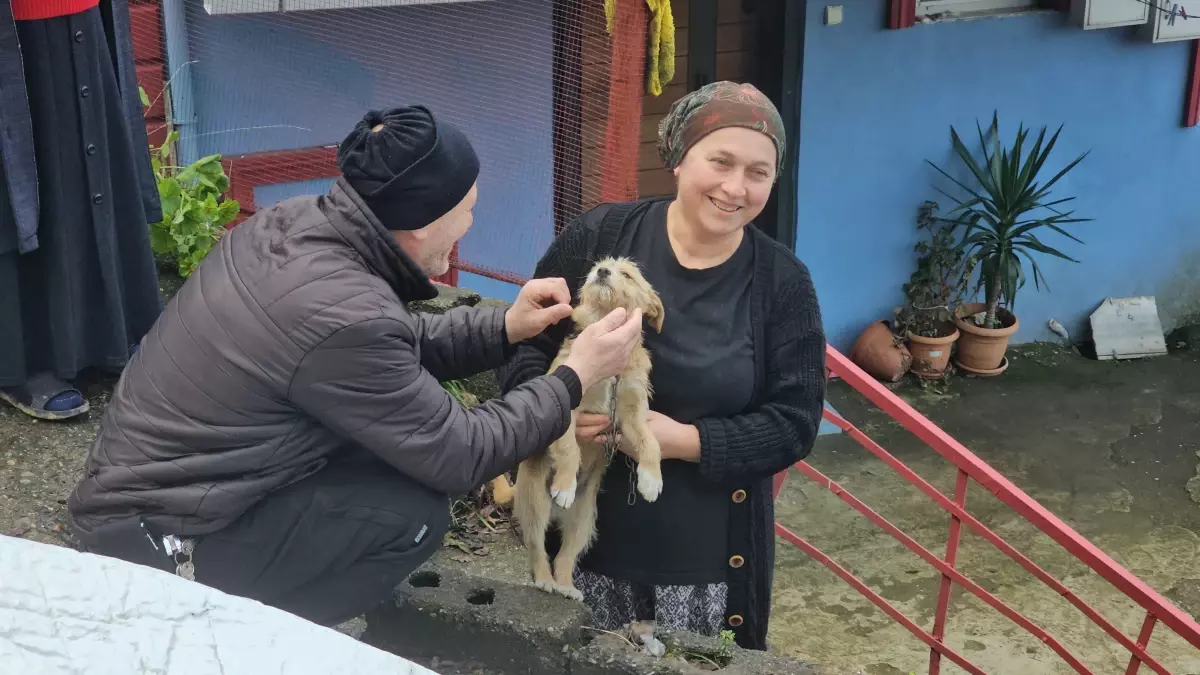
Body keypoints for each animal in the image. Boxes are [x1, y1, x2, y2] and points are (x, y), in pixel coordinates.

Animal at [496, 257, 667, 598]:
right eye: (600, 266)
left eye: (627, 274)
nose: (601, 272)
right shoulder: (567, 405)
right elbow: (569, 448)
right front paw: (565, 484)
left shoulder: (631, 415)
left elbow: (651, 442)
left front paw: (651, 479)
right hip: (535, 501)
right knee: (537, 547)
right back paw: (546, 580)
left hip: (584, 519)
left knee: (565, 555)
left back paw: (566, 585)